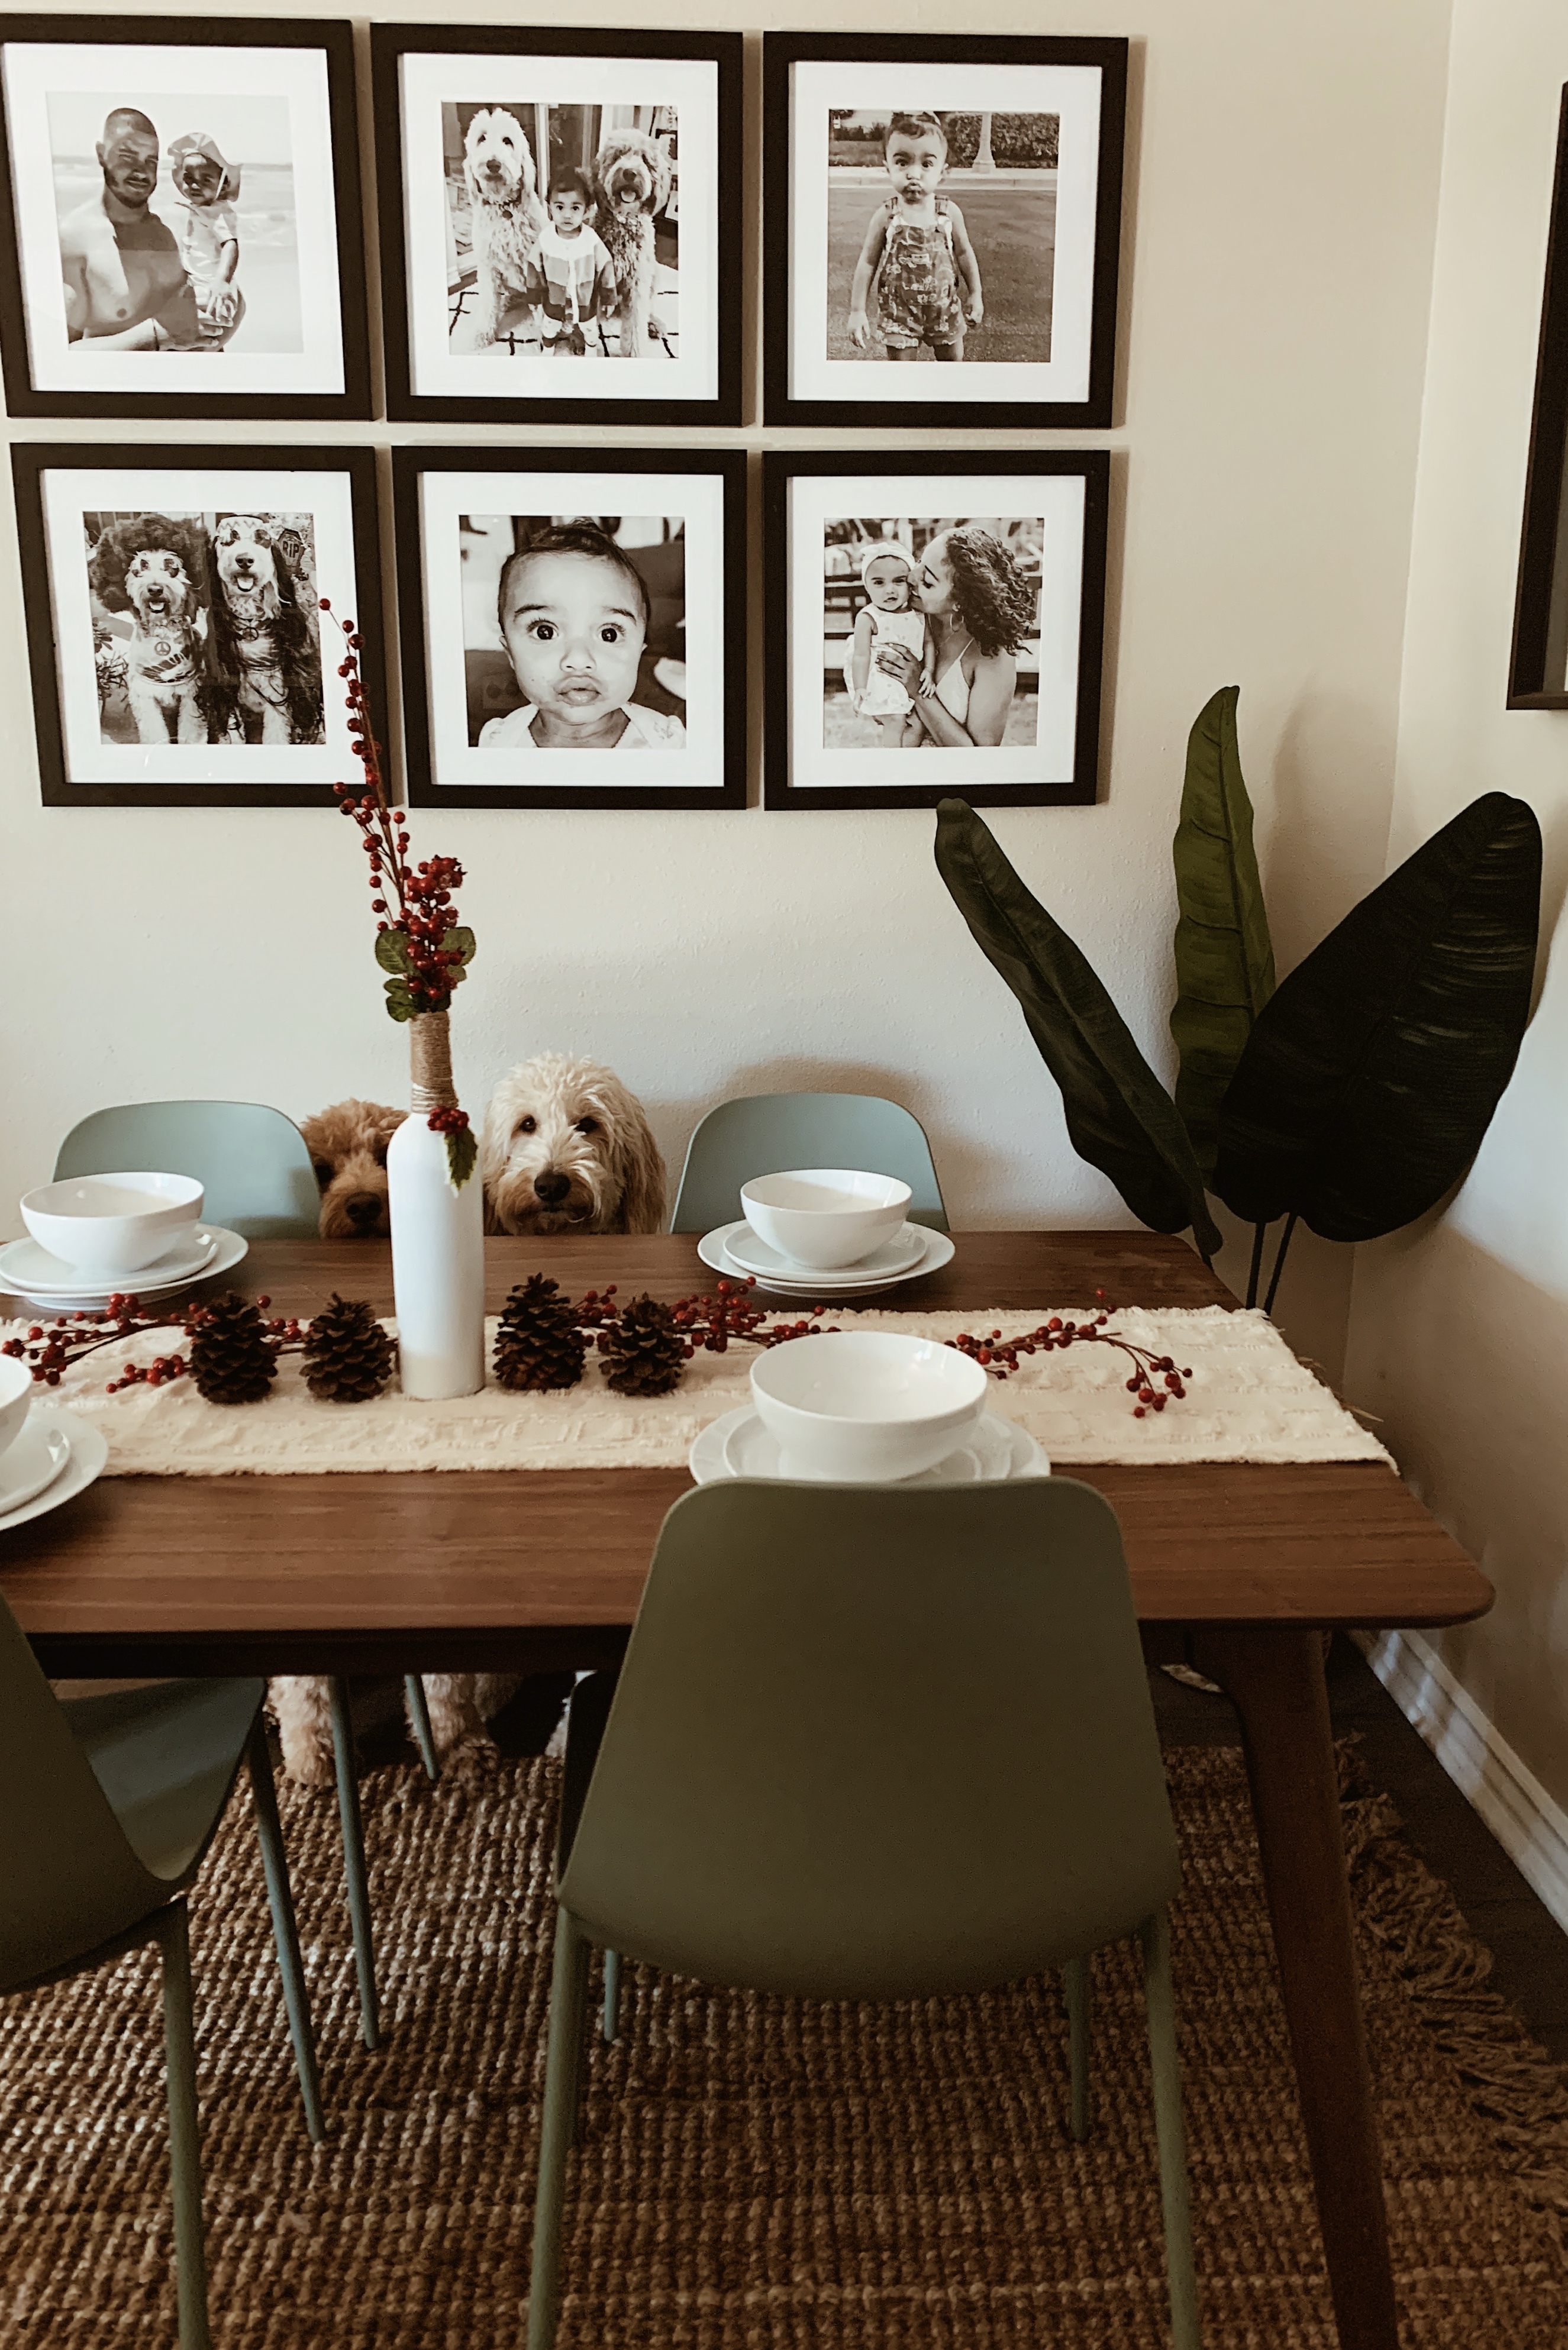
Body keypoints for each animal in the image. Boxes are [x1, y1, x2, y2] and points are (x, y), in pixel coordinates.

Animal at [88, 515, 216, 745]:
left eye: (172, 568)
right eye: (141, 566)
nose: (155, 589)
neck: (162, 631)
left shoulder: (191, 695)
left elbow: (192, 731)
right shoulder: (145, 697)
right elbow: (154, 732)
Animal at [207, 514, 324, 746]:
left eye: (261, 540)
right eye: (228, 541)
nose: (244, 560)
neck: (249, 620)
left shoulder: (277, 697)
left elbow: (277, 735)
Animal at [463, 106, 545, 349]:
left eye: (507, 141)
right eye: (481, 138)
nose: (493, 164)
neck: (504, 208)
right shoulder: (487, 265)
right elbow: (488, 300)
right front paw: (484, 331)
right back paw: (508, 301)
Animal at [592, 130, 672, 360]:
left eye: (645, 159)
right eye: (618, 155)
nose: (630, 173)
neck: (623, 221)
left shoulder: (637, 284)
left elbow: (636, 323)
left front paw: (634, 354)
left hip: (655, 273)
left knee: (648, 309)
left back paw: (654, 324)